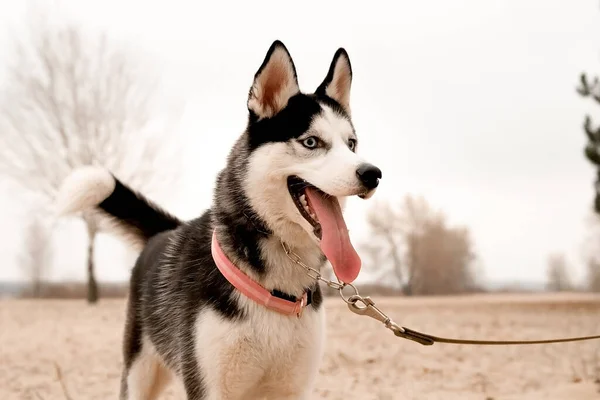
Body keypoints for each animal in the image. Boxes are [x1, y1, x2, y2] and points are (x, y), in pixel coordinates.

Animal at [58, 41, 382, 400]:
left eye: (351, 144)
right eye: (311, 142)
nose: (372, 174)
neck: (276, 286)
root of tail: (165, 232)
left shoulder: (293, 389)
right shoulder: (210, 387)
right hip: (138, 376)